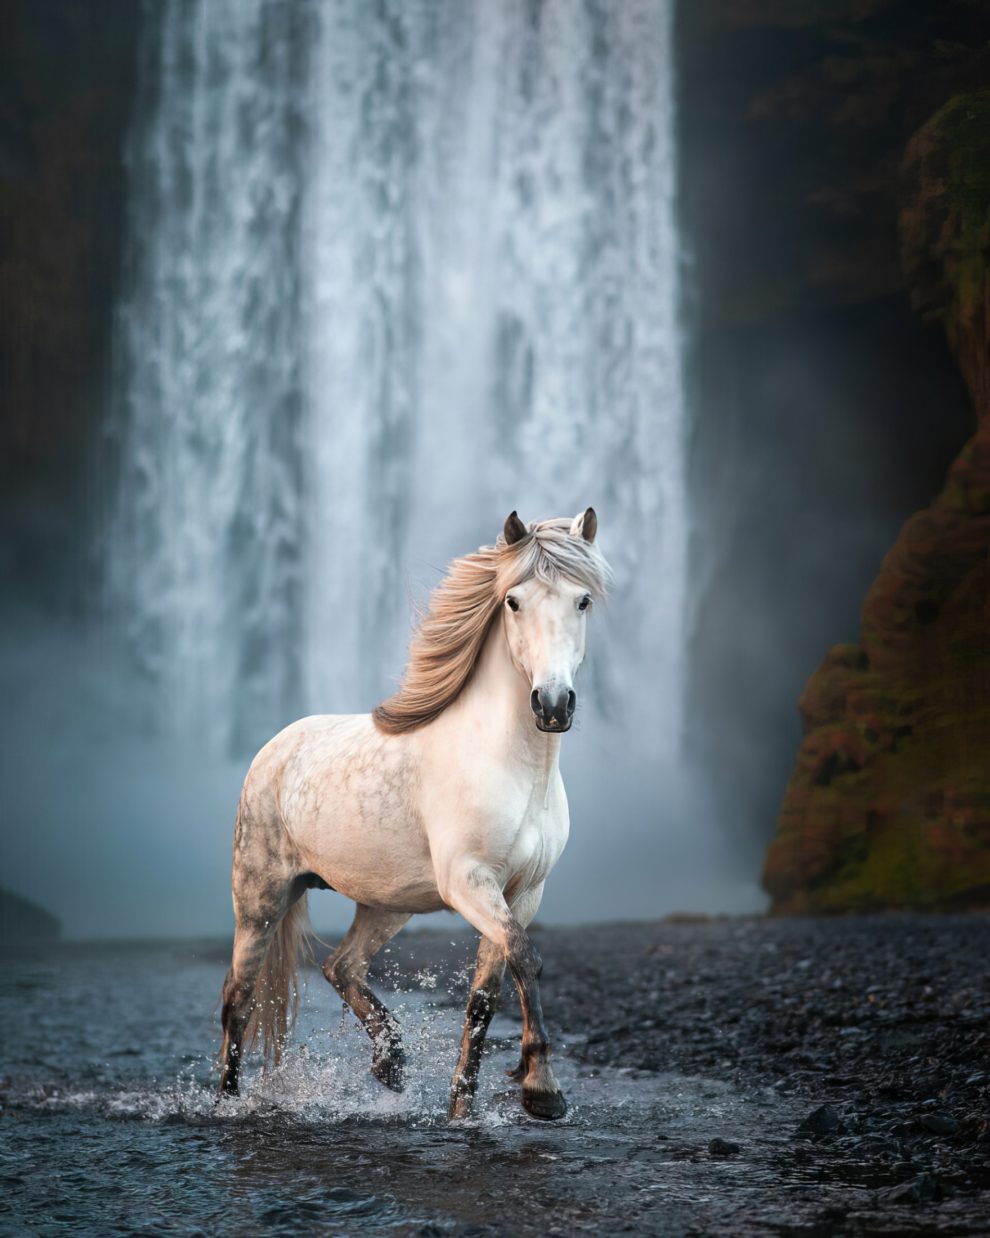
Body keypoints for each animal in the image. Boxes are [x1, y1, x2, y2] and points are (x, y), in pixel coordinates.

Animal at [219, 510, 611, 1124]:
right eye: (514, 601)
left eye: (583, 601)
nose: (552, 705)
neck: (516, 767)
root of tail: (275, 750)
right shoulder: (471, 883)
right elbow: (527, 958)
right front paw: (542, 1091)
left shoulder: (523, 891)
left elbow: (486, 995)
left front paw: (463, 1109)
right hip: (259, 900)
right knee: (239, 999)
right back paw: (226, 1104)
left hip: (387, 903)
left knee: (341, 968)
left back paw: (391, 1063)